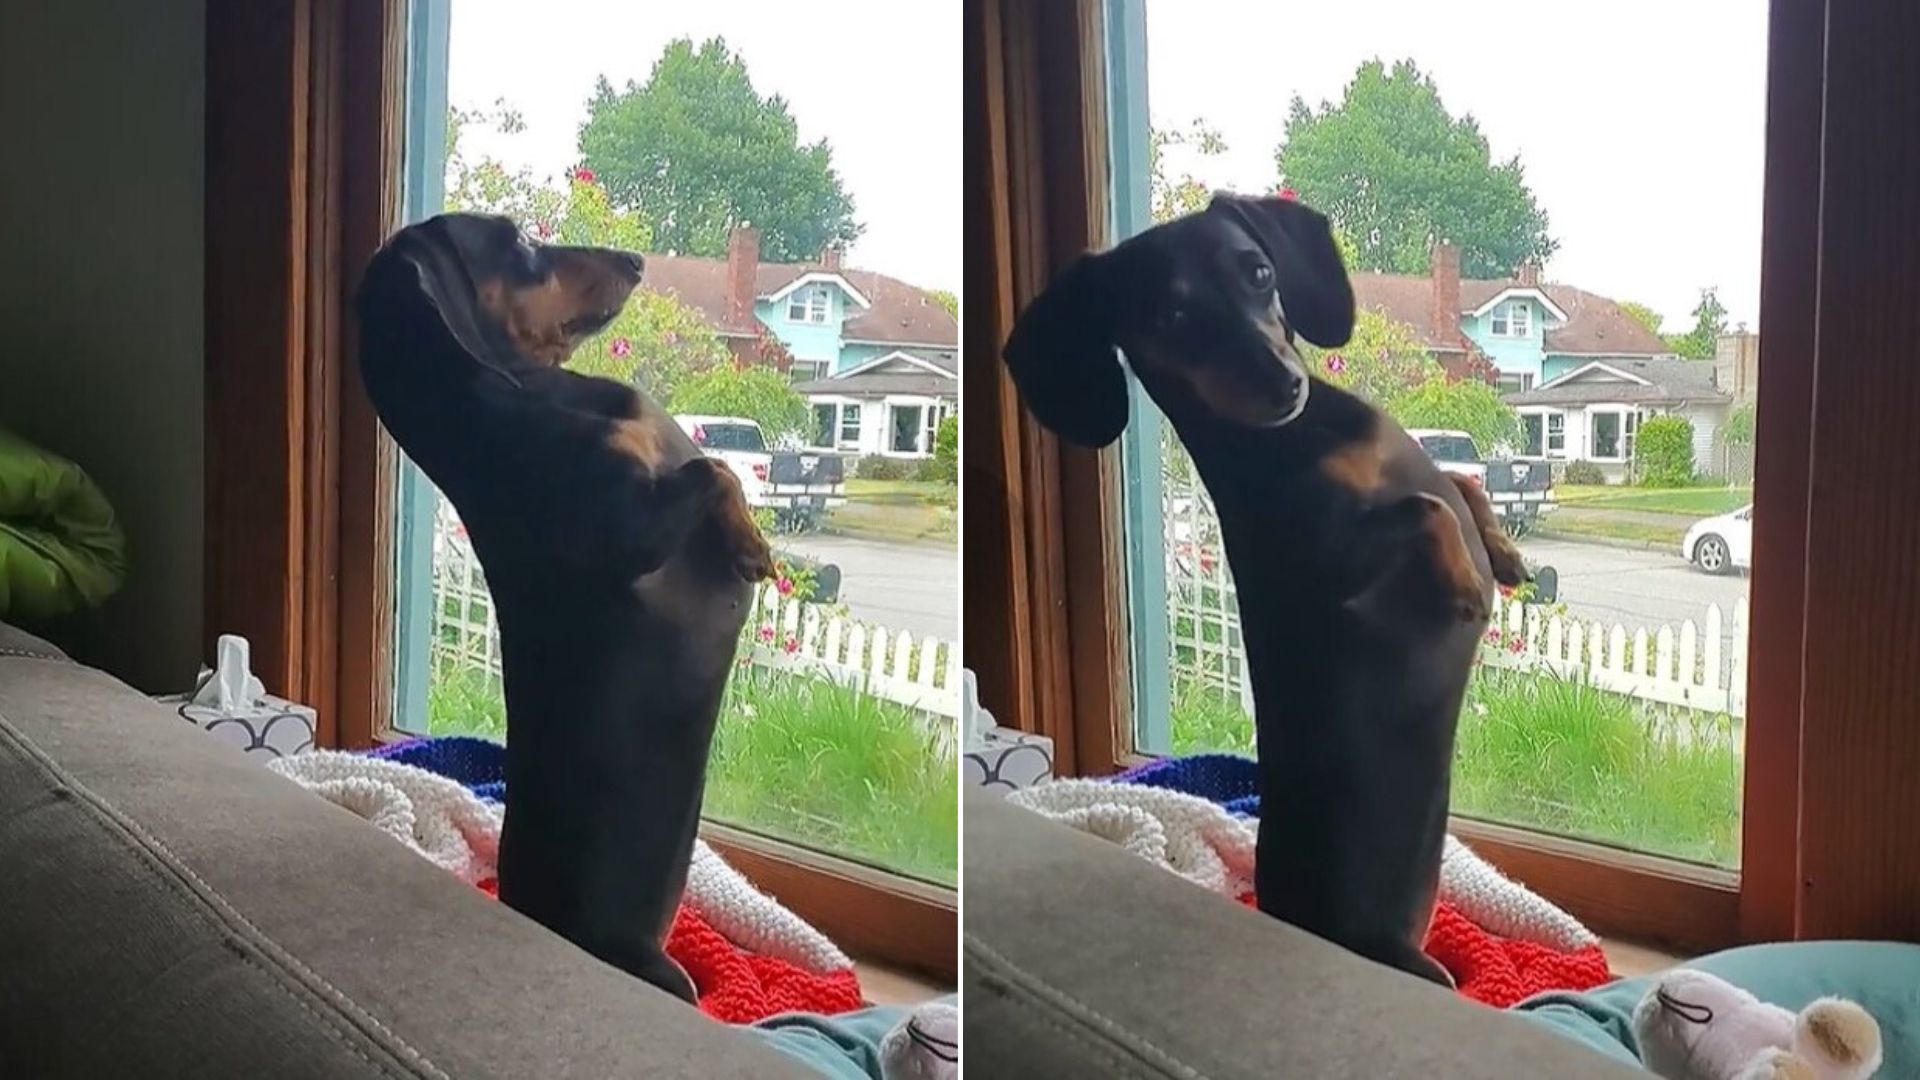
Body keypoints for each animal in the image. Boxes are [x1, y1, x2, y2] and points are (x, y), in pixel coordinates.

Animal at [353, 212, 771, 999]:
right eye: (516, 242)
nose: (636, 260)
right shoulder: (632, 530)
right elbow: (715, 467)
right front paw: (753, 548)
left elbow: (715, 467)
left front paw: (749, 540)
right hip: (659, 969)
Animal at [1006, 193, 1528, 983]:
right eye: (1170, 316)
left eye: (1258, 272)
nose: (1285, 385)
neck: (1303, 437)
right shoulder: (1346, 565)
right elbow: (1423, 506)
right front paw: (1469, 583)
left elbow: (1459, 485)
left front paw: (1503, 555)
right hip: (1408, 960)